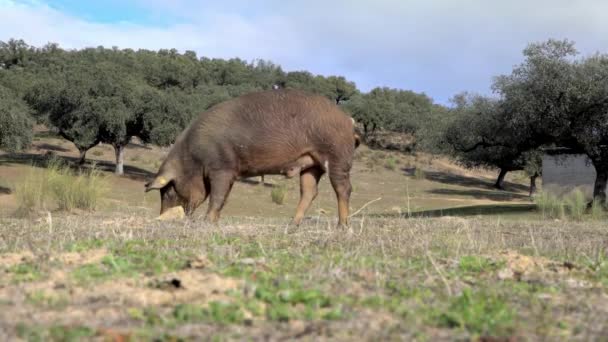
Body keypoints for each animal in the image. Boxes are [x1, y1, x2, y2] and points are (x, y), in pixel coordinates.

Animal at [144, 89, 358, 227]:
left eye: (168, 192)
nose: (160, 218)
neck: (193, 158)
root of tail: (348, 119)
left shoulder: (221, 167)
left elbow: (217, 196)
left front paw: (206, 222)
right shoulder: (230, 173)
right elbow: (223, 198)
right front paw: (214, 221)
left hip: (337, 154)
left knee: (344, 188)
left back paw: (342, 226)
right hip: (311, 164)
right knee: (309, 191)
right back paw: (292, 225)